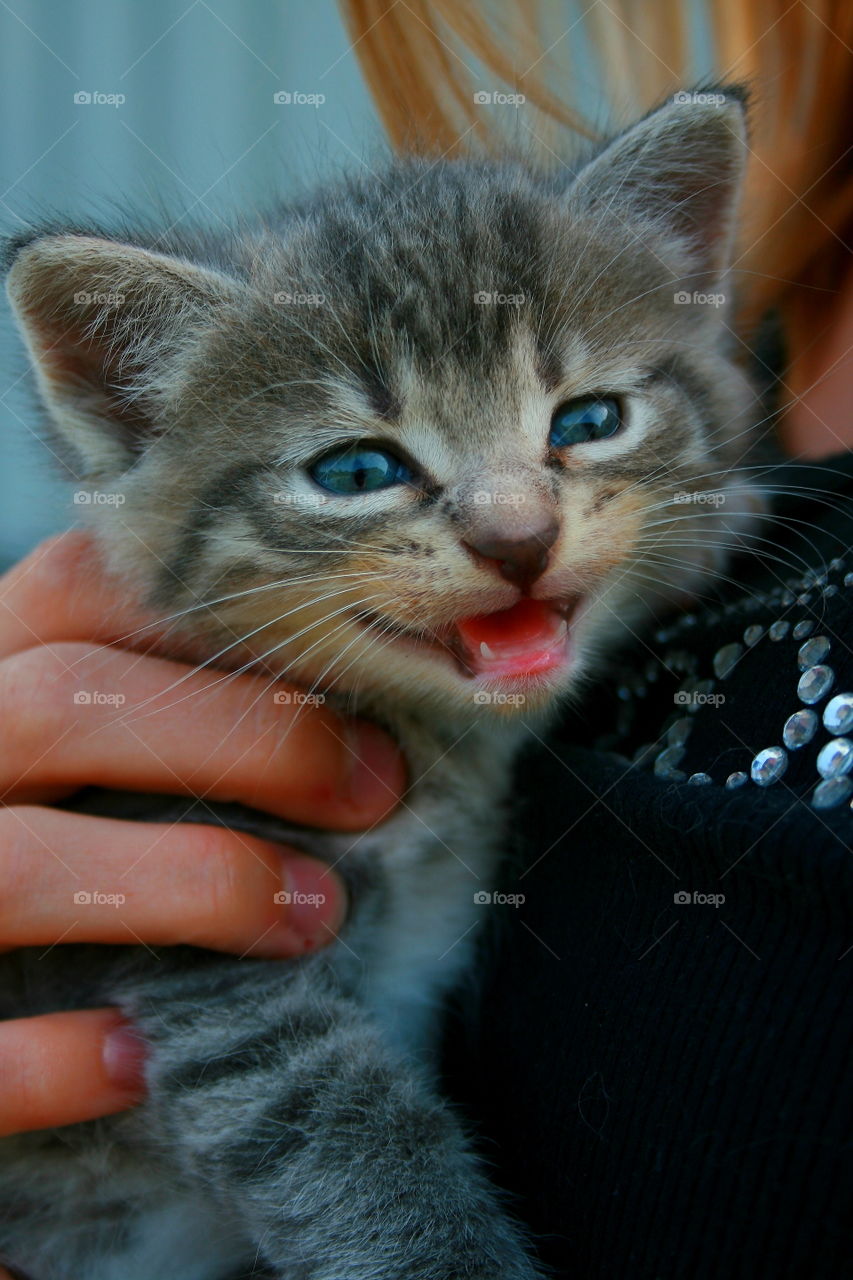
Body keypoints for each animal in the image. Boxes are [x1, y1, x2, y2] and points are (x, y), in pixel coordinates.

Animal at [0, 92, 758, 1280]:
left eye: (588, 421)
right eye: (356, 471)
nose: (517, 538)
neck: (440, 752)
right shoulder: (196, 945)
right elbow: (337, 1125)